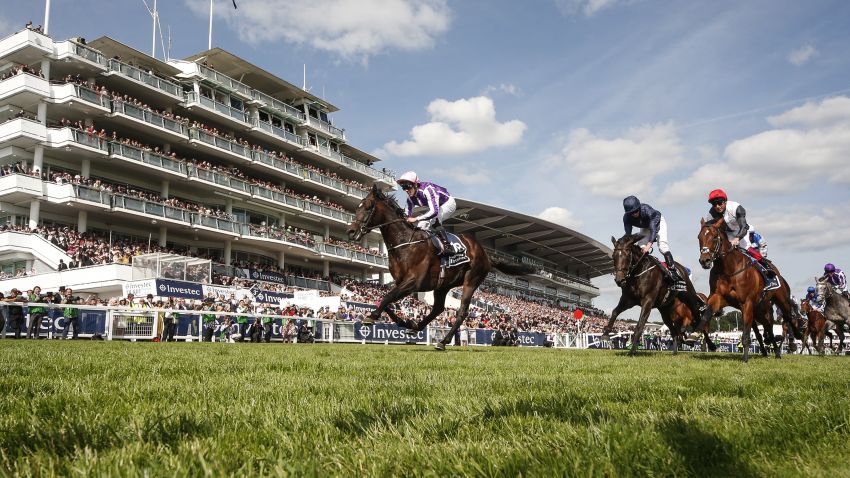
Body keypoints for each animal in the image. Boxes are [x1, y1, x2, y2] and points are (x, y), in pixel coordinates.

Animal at [344, 187, 528, 352]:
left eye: (368, 206)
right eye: (357, 207)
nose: (351, 231)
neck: (405, 243)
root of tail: (486, 255)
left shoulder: (414, 282)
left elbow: (388, 297)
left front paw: (371, 317)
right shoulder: (400, 282)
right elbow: (386, 300)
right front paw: (406, 322)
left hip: (471, 280)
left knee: (462, 312)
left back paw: (442, 342)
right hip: (443, 285)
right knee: (438, 308)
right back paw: (417, 327)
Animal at [696, 218, 796, 362]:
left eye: (714, 237)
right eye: (699, 237)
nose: (705, 260)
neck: (728, 269)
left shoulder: (746, 303)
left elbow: (746, 334)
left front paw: (745, 358)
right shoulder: (718, 297)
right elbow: (705, 316)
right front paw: (705, 340)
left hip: (781, 300)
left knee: (789, 317)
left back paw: (791, 343)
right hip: (759, 308)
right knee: (768, 326)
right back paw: (775, 351)